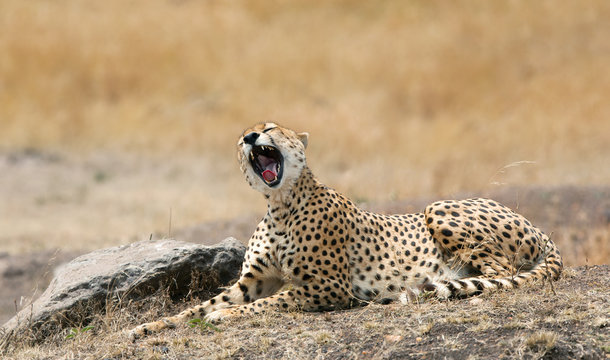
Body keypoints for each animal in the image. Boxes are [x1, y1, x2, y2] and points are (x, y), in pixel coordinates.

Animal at [128, 123, 560, 338]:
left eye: (270, 127)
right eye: (242, 136)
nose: (251, 137)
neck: (281, 203)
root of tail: (540, 229)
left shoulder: (330, 286)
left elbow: (272, 302)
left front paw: (226, 317)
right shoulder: (252, 280)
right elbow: (199, 306)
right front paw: (147, 327)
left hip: (437, 208)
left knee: (502, 273)